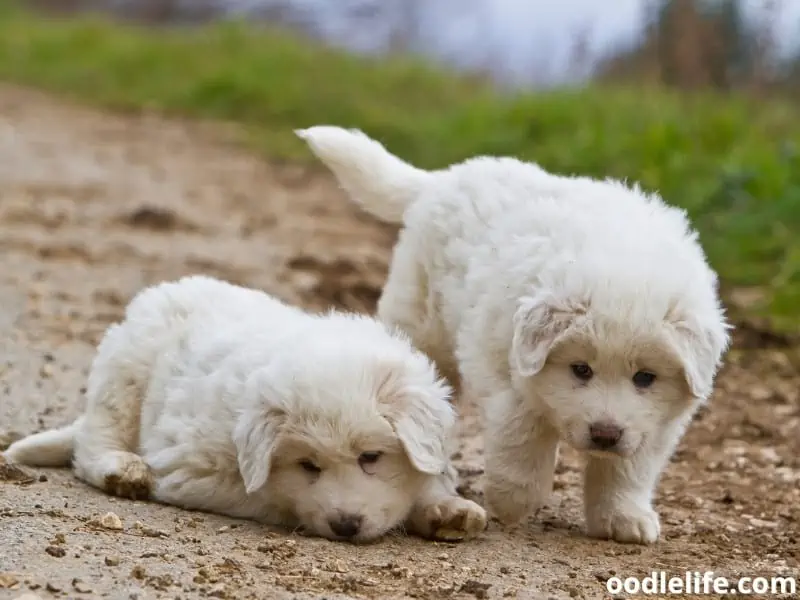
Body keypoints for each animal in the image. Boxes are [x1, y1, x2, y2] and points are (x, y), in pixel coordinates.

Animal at [4, 276, 488, 544]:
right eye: (308, 465)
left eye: (371, 457)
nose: (345, 525)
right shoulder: (191, 469)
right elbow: (273, 496)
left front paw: (447, 509)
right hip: (124, 371)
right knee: (93, 441)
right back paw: (121, 469)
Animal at [298, 126, 732, 544]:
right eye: (580, 369)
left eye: (645, 377)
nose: (604, 434)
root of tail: (444, 178)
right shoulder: (503, 367)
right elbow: (521, 431)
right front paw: (513, 500)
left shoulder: (655, 422)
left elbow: (629, 468)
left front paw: (625, 518)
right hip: (422, 326)